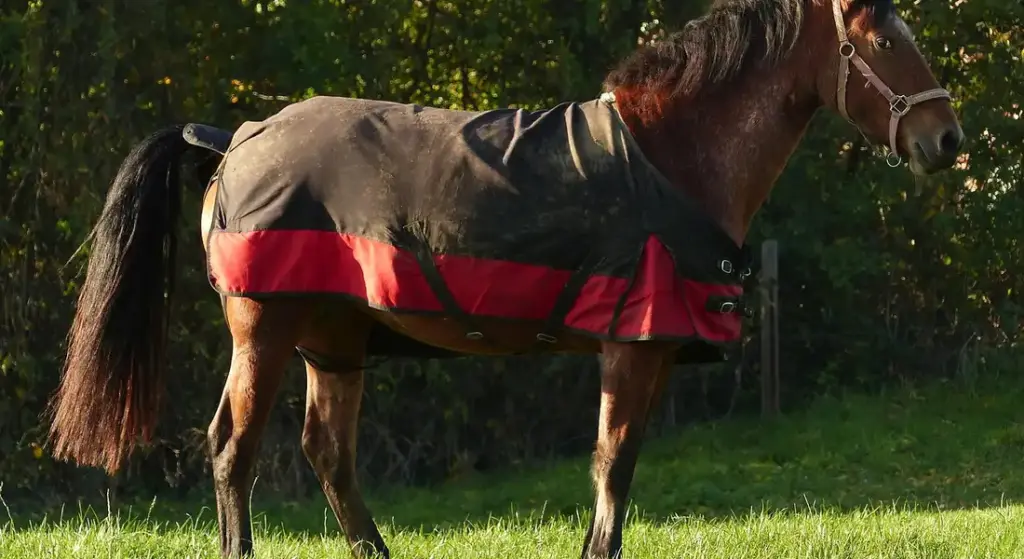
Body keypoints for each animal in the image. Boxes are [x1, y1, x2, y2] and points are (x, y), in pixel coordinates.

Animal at [47, 0, 963, 557]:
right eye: (884, 41)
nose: (947, 140)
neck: (672, 158)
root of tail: (234, 134)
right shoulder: (633, 346)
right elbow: (612, 467)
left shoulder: (642, 350)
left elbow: (616, 465)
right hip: (263, 328)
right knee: (232, 451)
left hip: (334, 341)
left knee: (329, 454)